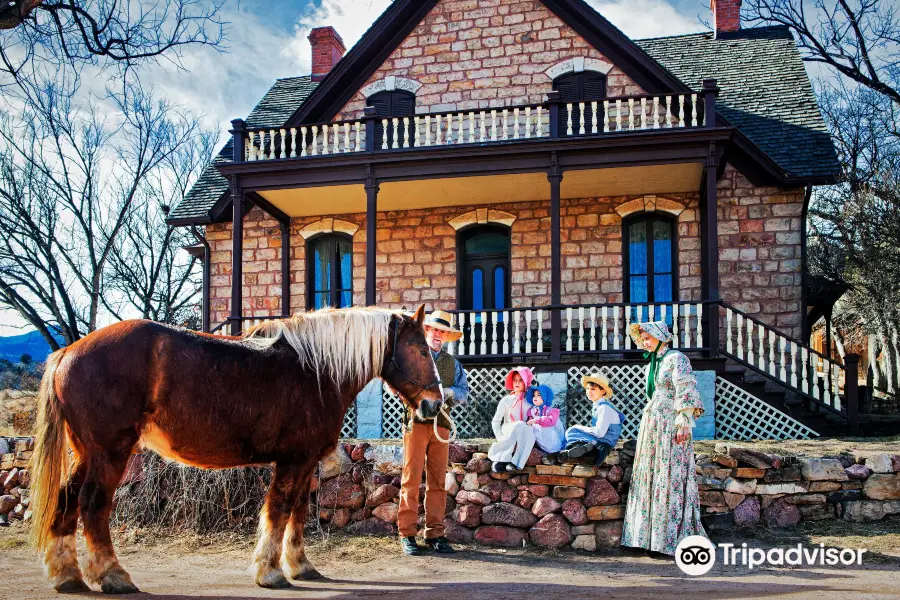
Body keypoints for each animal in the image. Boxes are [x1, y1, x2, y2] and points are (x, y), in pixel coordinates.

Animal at [29, 308, 444, 592]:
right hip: (109, 453)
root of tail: (68, 352)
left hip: (87, 454)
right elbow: (279, 509)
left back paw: (67, 575)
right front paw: (270, 571)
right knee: (92, 505)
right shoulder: (294, 459)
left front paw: (300, 566)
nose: (434, 405)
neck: (316, 369)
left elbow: (298, 512)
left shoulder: (306, 461)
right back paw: (113, 576)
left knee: (66, 501)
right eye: (421, 350)